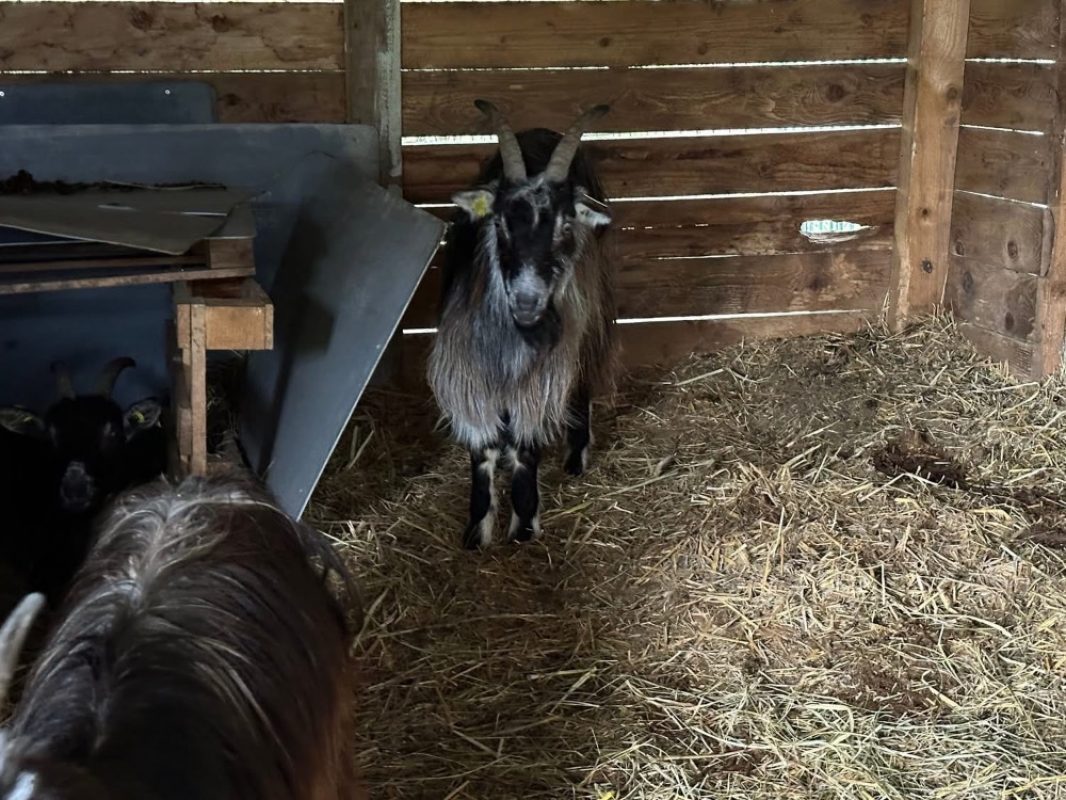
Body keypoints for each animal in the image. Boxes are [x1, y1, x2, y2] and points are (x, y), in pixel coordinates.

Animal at [429, 100, 617, 549]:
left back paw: (575, 455)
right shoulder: (468, 370)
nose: (528, 301)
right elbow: (483, 449)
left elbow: (525, 444)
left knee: (584, 374)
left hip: (591, 311)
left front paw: (524, 523)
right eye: (498, 223)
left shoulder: (544, 373)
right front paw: (477, 528)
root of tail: (539, 130)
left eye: (565, 225)